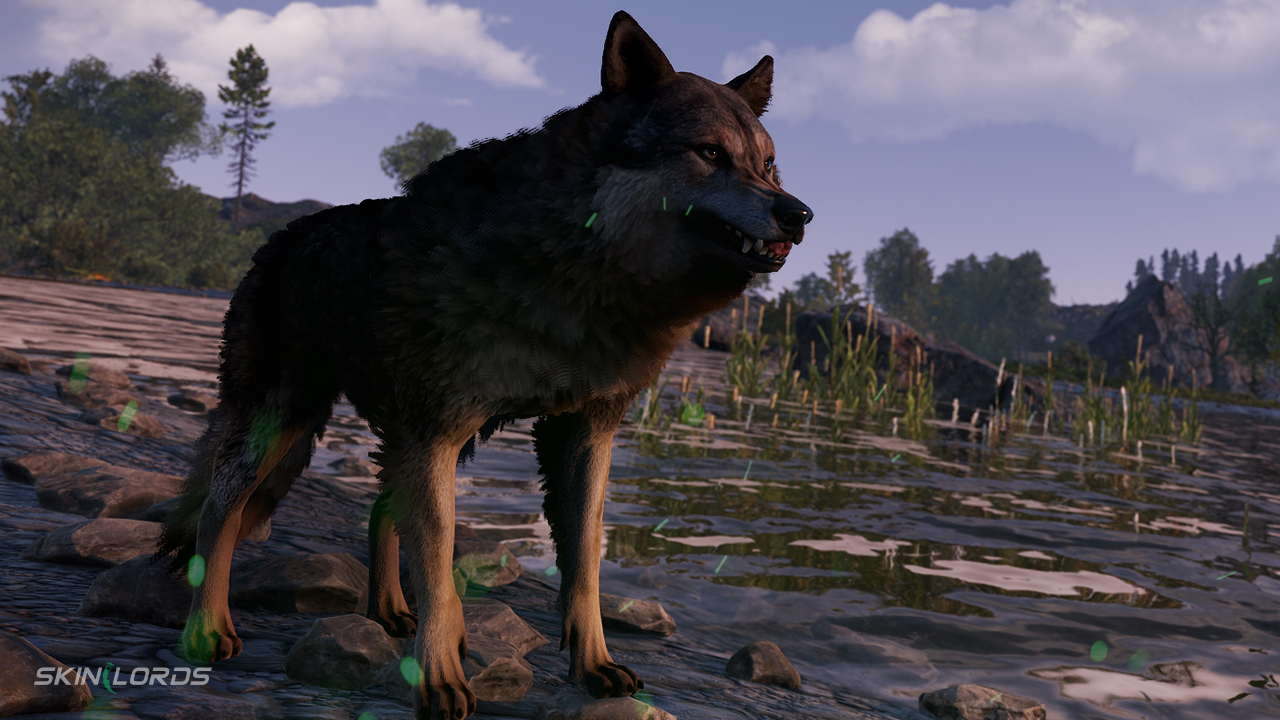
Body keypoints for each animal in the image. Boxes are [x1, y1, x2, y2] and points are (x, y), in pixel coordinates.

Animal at [157, 11, 810, 719]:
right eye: (711, 154)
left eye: (768, 164)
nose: (798, 213)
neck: (575, 276)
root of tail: (273, 241)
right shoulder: (435, 431)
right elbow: (440, 570)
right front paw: (440, 677)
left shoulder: (583, 434)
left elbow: (584, 565)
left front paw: (592, 665)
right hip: (284, 423)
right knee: (220, 509)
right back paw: (206, 628)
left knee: (378, 509)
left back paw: (387, 612)